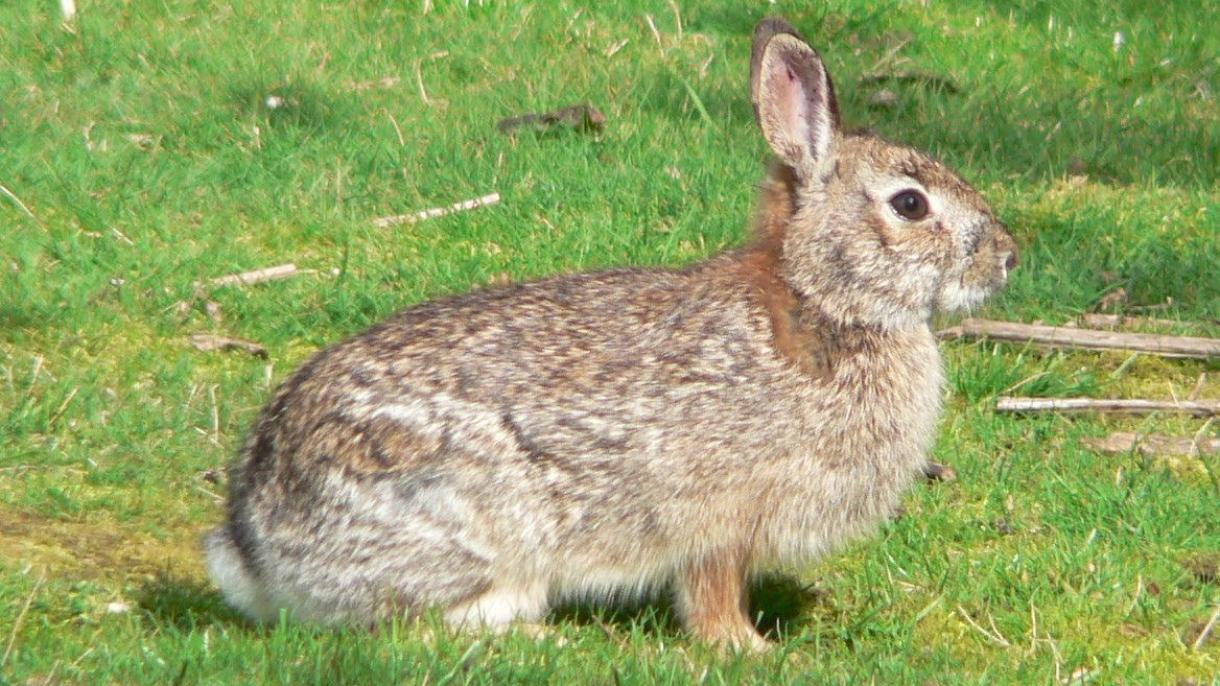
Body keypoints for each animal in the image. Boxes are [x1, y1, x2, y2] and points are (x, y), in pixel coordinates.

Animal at [202, 16, 1019, 644]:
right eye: (910, 205)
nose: (1008, 258)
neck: (820, 300)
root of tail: (254, 545)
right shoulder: (718, 522)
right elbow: (711, 595)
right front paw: (749, 650)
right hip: (469, 523)